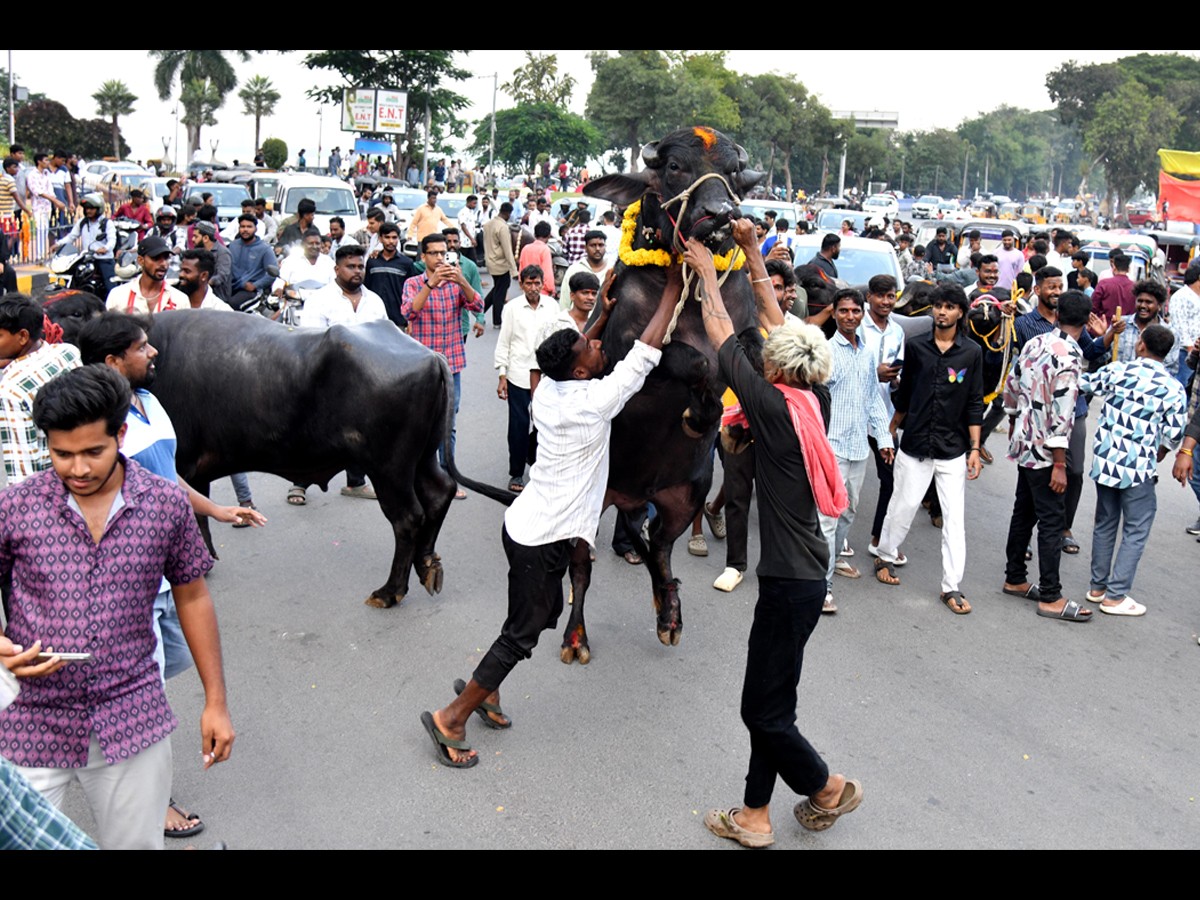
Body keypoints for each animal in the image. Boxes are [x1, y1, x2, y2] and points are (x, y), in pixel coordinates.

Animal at [146, 307, 453, 609]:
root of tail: (431, 357)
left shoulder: (182, 462)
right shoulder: (195, 473)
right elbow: (200, 514)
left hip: (388, 467)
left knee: (407, 518)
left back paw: (389, 591)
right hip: (422, 457)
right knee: (439, 493)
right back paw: (428, 566)